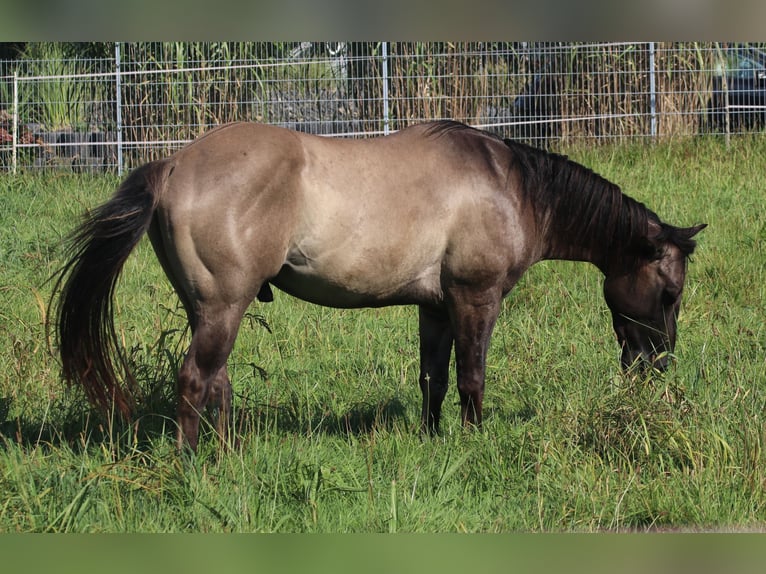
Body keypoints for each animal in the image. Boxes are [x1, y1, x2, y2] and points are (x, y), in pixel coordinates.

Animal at [52, 121, 708, 452]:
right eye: (669, 294)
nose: (657, 367)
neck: (510, 185)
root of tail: (172, 166)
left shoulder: (436, 308)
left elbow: (434, 379)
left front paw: (433, 438)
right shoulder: (475, 297)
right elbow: (472, 377)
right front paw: (473, 444)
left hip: (209, 310)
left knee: (217, 383)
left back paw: (230, 454)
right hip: (221, 308)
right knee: (195, 380)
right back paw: (194, 465)